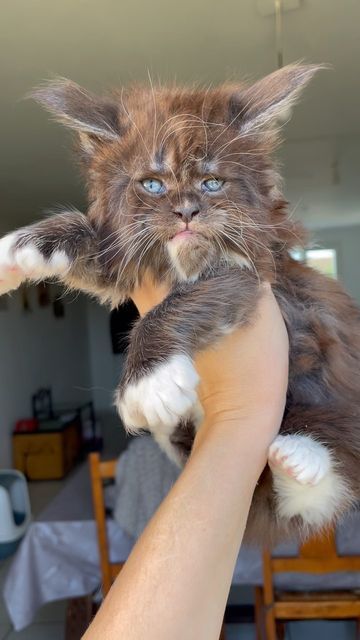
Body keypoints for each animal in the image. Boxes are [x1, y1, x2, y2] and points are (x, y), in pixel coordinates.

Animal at [0, 65, 360, 544]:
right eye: (153, 184)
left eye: (212, 182)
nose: (187, 211)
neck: (181, 264)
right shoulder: (128, 252)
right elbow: (98, 244)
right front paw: (28, 244)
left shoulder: (256, 272)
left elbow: (178, 304)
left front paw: (148, 382)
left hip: (332, 401)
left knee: (323, 487)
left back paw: (301, 456)